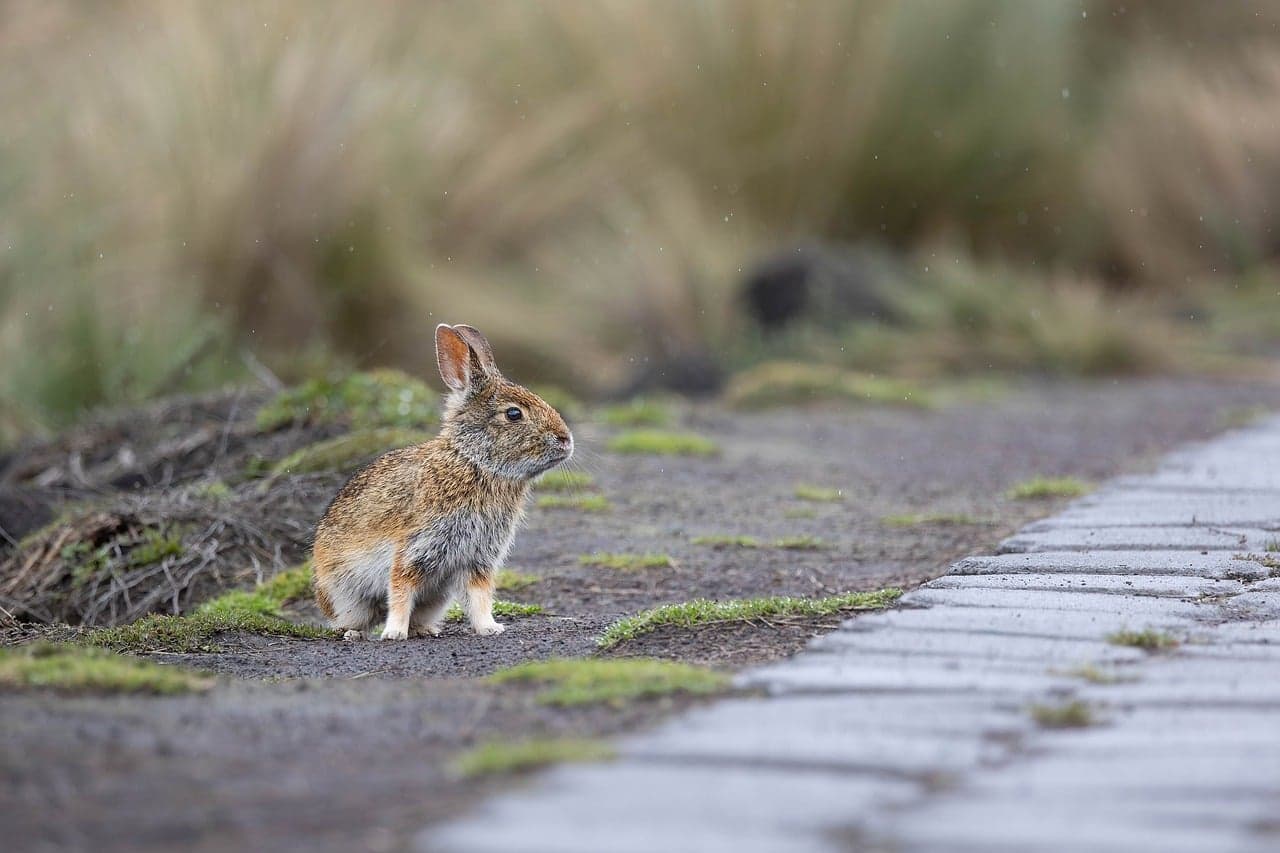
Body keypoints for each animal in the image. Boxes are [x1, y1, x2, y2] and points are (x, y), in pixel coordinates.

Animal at [311, 323, 573, 641]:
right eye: (513, 413)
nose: (565, 439)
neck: (474, 462)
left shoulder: (478, 560)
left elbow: (479, 597)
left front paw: (490, 628)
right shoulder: (413, 549)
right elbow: (400, 591)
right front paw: (394, 633)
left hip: (438, 598)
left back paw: (425, 630)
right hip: (345, 595)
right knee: (352, 619)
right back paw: (355, 633)